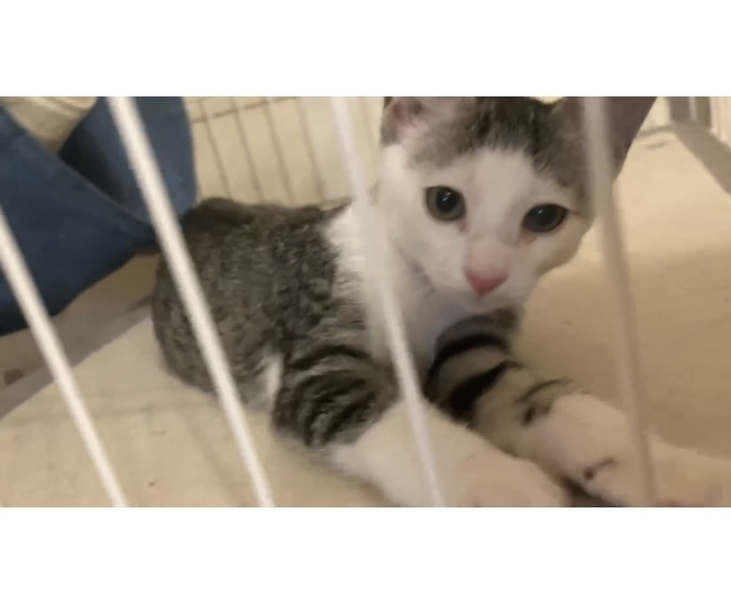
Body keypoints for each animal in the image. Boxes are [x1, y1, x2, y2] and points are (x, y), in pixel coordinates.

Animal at [151, 97, 731, 506]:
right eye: (444, 202)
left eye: (545, 217)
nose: (484, 275)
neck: (425, 297)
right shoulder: (316, 358)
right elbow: (394, 420)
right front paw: (499, 484)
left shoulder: (472, 350)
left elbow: (538, 397)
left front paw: (669, 469)